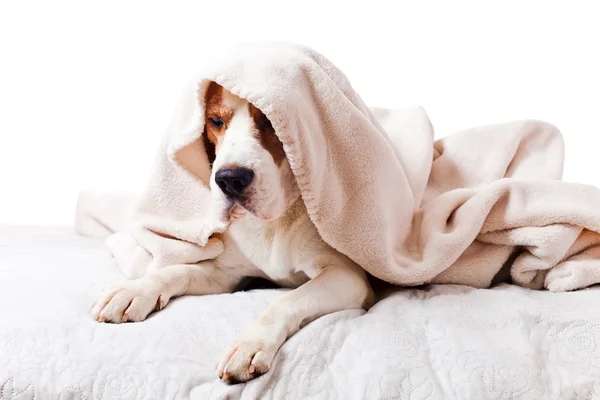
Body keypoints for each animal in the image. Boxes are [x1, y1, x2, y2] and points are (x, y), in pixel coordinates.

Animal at [91, 82, 372, 384]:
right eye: (215, 121)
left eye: (271, 120)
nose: (229, 179)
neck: (273, 222)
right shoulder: (228, 274)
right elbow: (178, 271)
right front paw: (135, 290)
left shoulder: (346, 276)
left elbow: (286, 300)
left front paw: (249, 345)